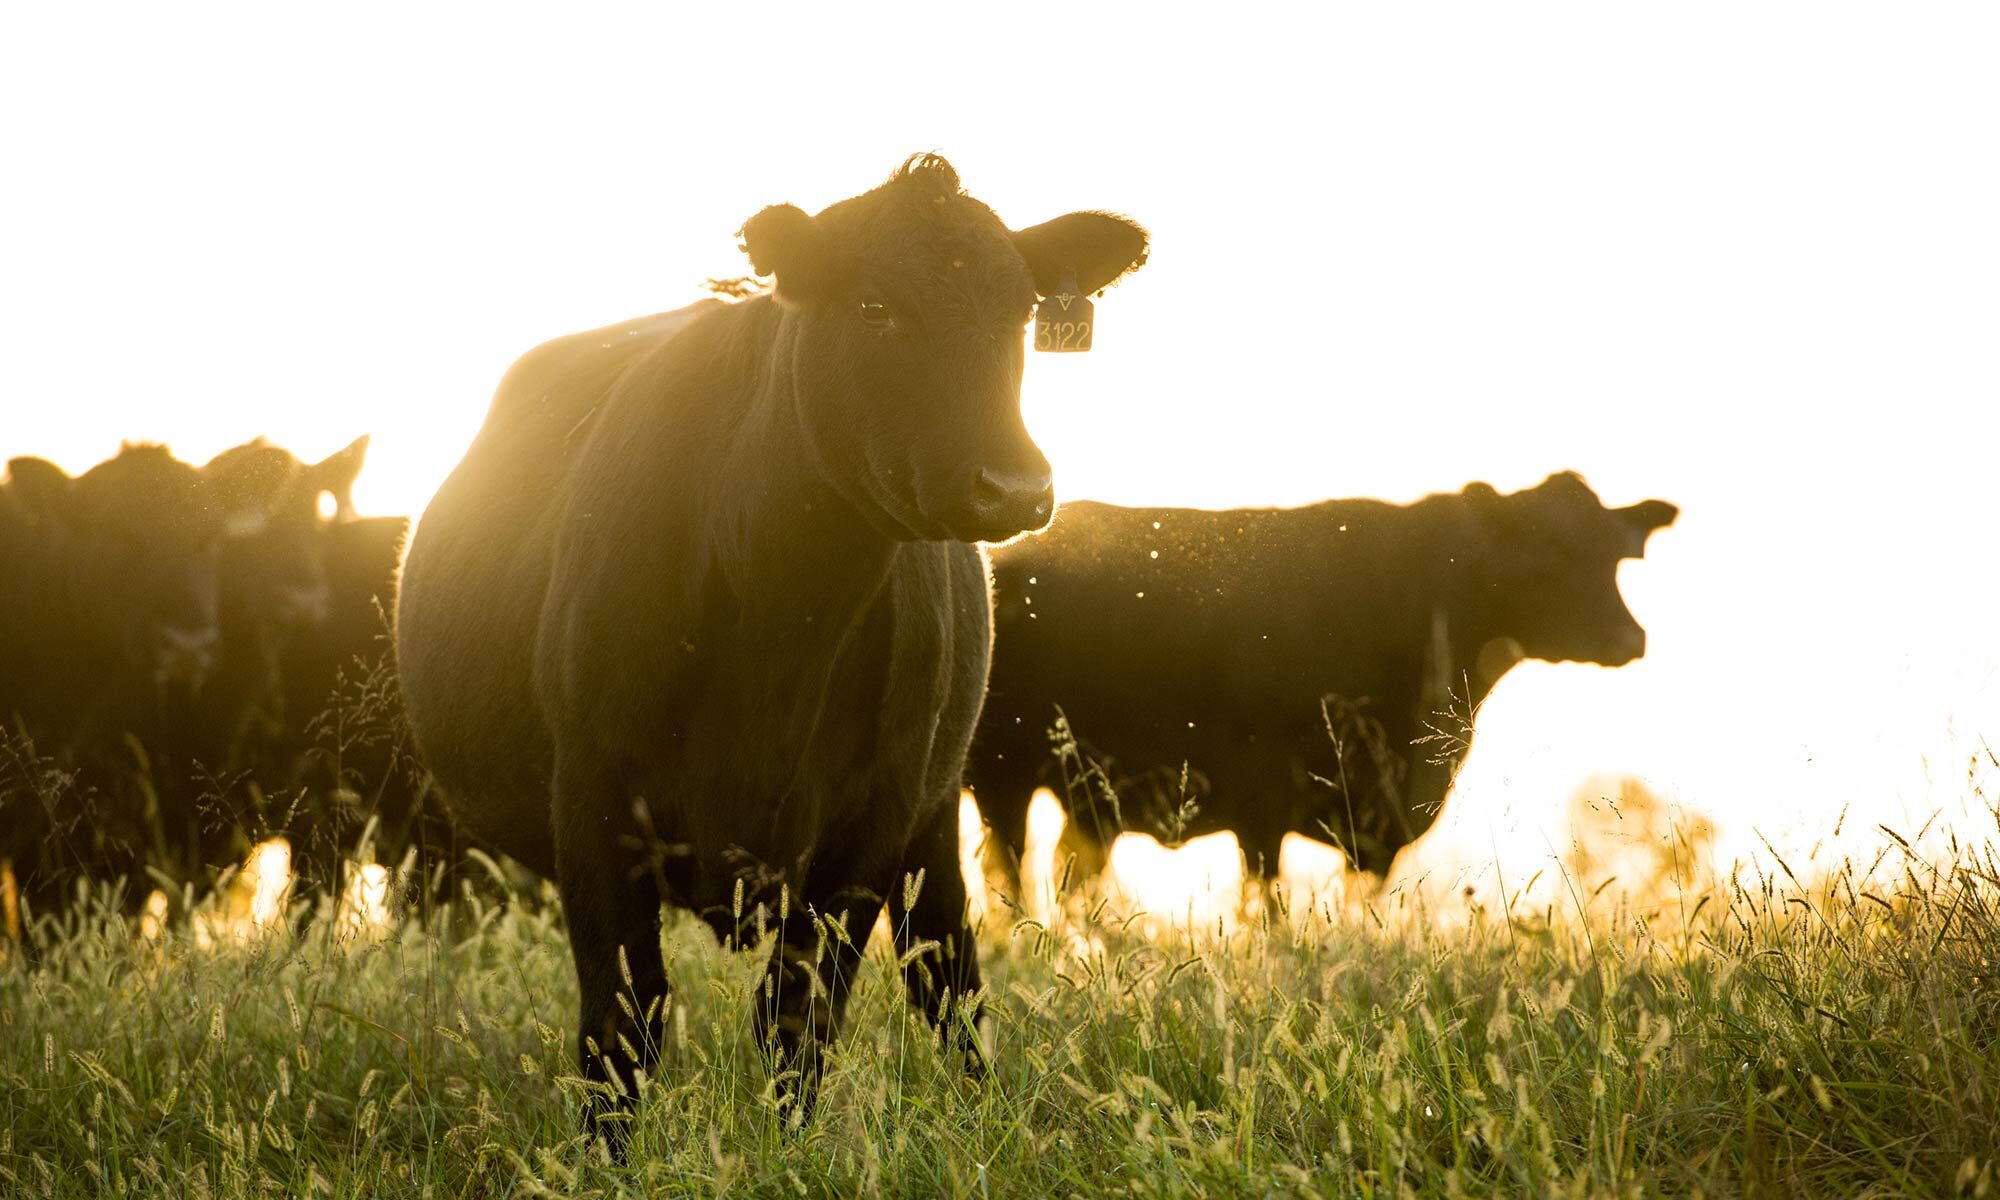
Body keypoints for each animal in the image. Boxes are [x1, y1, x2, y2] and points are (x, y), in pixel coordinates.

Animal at [394, 154, 1148, 1138]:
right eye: (873, 305)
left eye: (1021, 309)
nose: (1013, 486)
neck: (783, 618)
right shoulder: (592, 804)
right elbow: (622, 1032)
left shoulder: (871, 822)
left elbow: (799, 1024)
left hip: (935, 810)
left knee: (950, 984)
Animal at [969, 472, 1678, 888]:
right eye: (1551, 553)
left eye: (1616, 553)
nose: (1630, 638)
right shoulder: (1257, 793)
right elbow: (1268, 903)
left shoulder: (1381, 821)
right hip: (1000, 774)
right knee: (1013, 873)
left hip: (1089, 795)